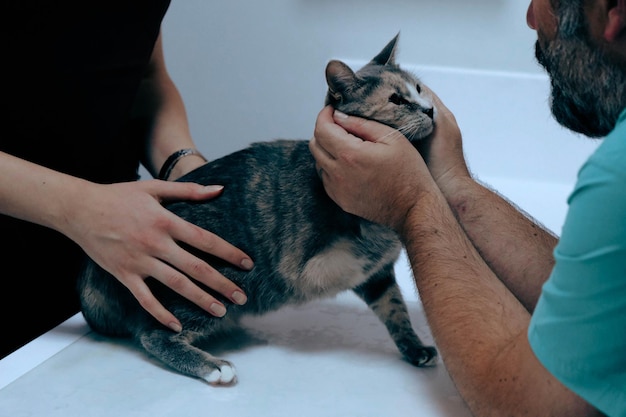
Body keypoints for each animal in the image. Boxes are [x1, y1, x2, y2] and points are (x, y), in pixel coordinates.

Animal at [78, 31, 436, 384]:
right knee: (155, 333)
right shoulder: (308, 267)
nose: (431, 109)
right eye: (396, 100)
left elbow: (395, 308)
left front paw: (415, 347)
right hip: (222, 280)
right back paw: (214, 367)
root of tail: (96, 276)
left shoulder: (377, 277)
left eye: (418, 88)